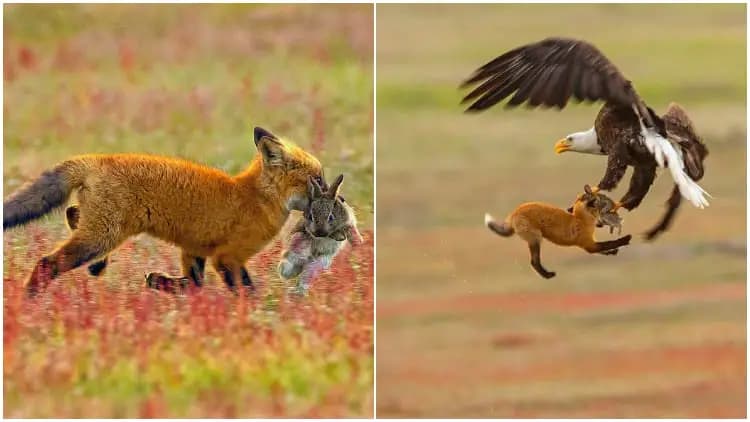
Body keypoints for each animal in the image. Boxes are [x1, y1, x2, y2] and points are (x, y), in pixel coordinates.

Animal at [2, 127, 326, 296]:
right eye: (318, 180)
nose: (334, 196)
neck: (255, 198)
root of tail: (98, 158)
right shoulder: (228, 257)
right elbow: (244, 292)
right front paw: (262, 318)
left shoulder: (195, 250)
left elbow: (193, 285)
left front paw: (159, 282)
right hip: (102, 236)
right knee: (47, 262)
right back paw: (29, 299)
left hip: (101, 230)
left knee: (71, 212)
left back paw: (97, 266)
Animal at [488, 185, 636, 278]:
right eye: (602, 203)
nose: (600, 224)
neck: (580, 219)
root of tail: (513, 213)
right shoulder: (588, 245)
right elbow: (609, 243)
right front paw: (625, 239)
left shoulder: (591, 243)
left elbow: (605, 249)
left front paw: (612, 252)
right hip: (536, 239)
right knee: (534, 262)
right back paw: (548, 275)